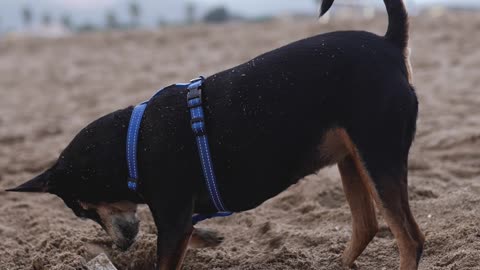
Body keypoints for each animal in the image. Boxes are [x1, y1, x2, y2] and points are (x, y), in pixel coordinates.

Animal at [8, 0, 424, 270]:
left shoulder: (172, 221)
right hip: (352, 158)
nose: (121, 245)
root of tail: (389, 43)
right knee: (367, 226)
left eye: (82, 209)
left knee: (410, 240)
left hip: (377, 155)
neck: (131, 144)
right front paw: (208, 239)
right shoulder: (177, 221)